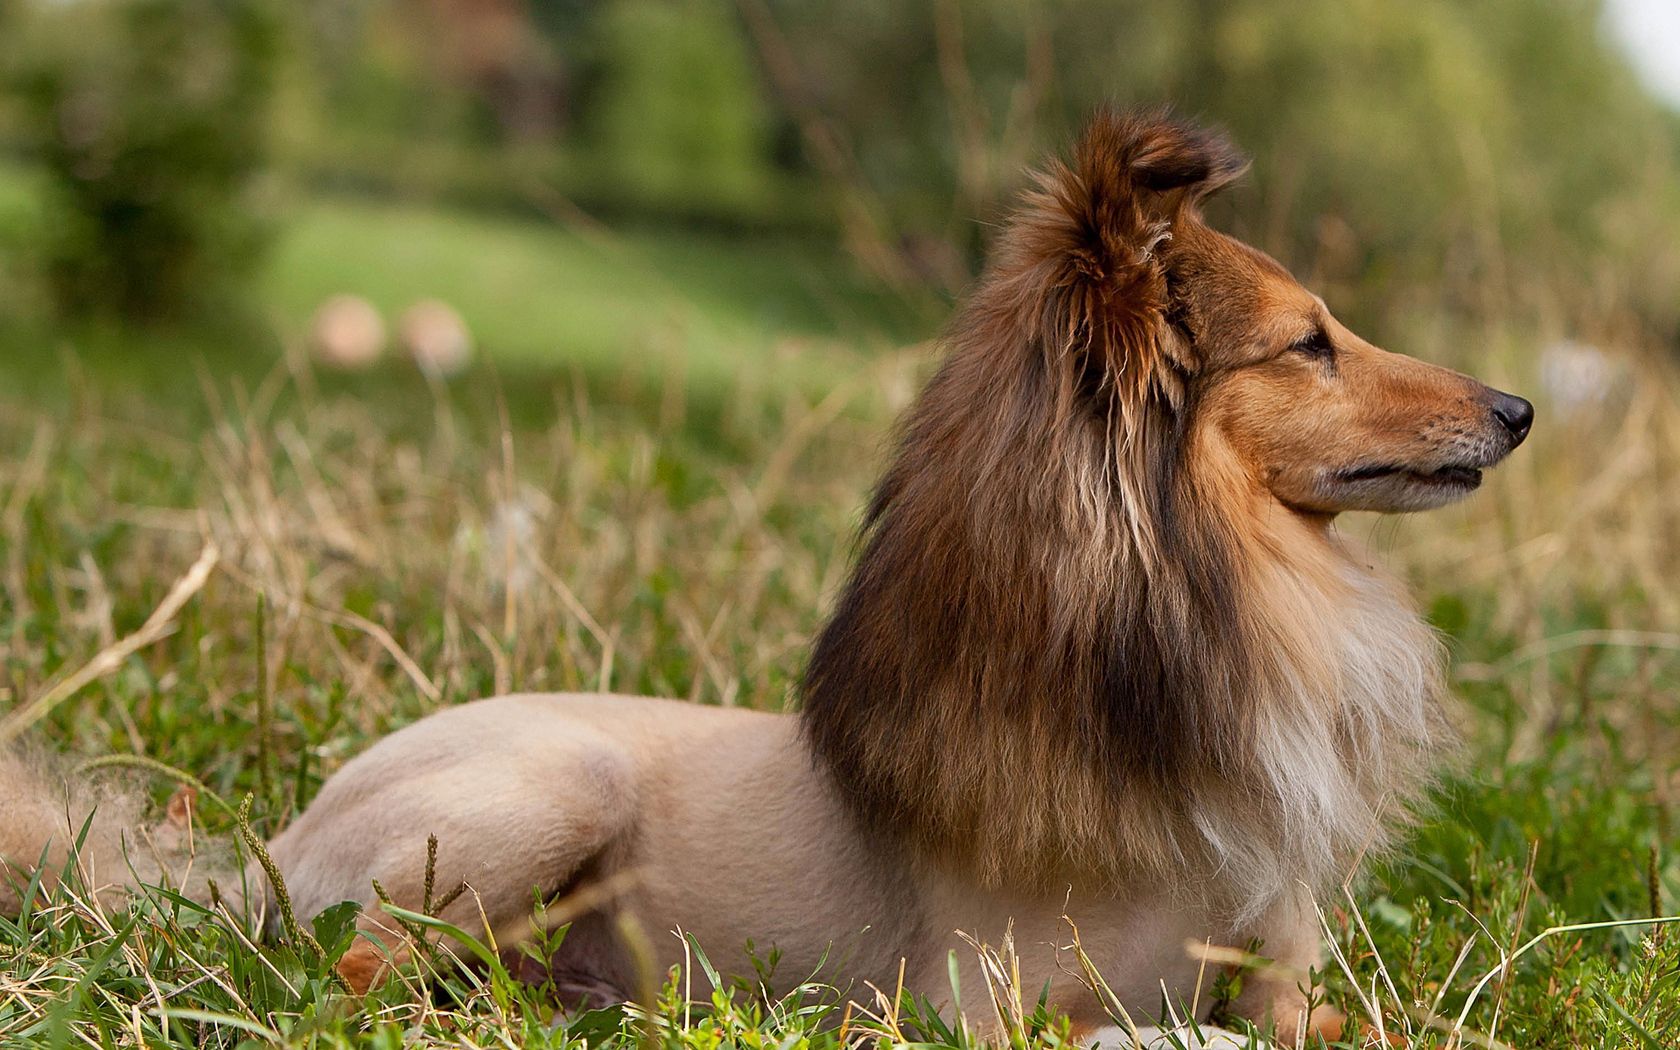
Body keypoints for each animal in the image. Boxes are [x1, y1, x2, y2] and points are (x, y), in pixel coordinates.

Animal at [0, 110, 1532, 1041]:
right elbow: (1150, 1030)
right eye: (1310, 343)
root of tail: (280, 840)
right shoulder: (986, 1007)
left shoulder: (1280, 982)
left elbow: (1333, 1020)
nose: (1518, 409)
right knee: (361, 965)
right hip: (551, 784)